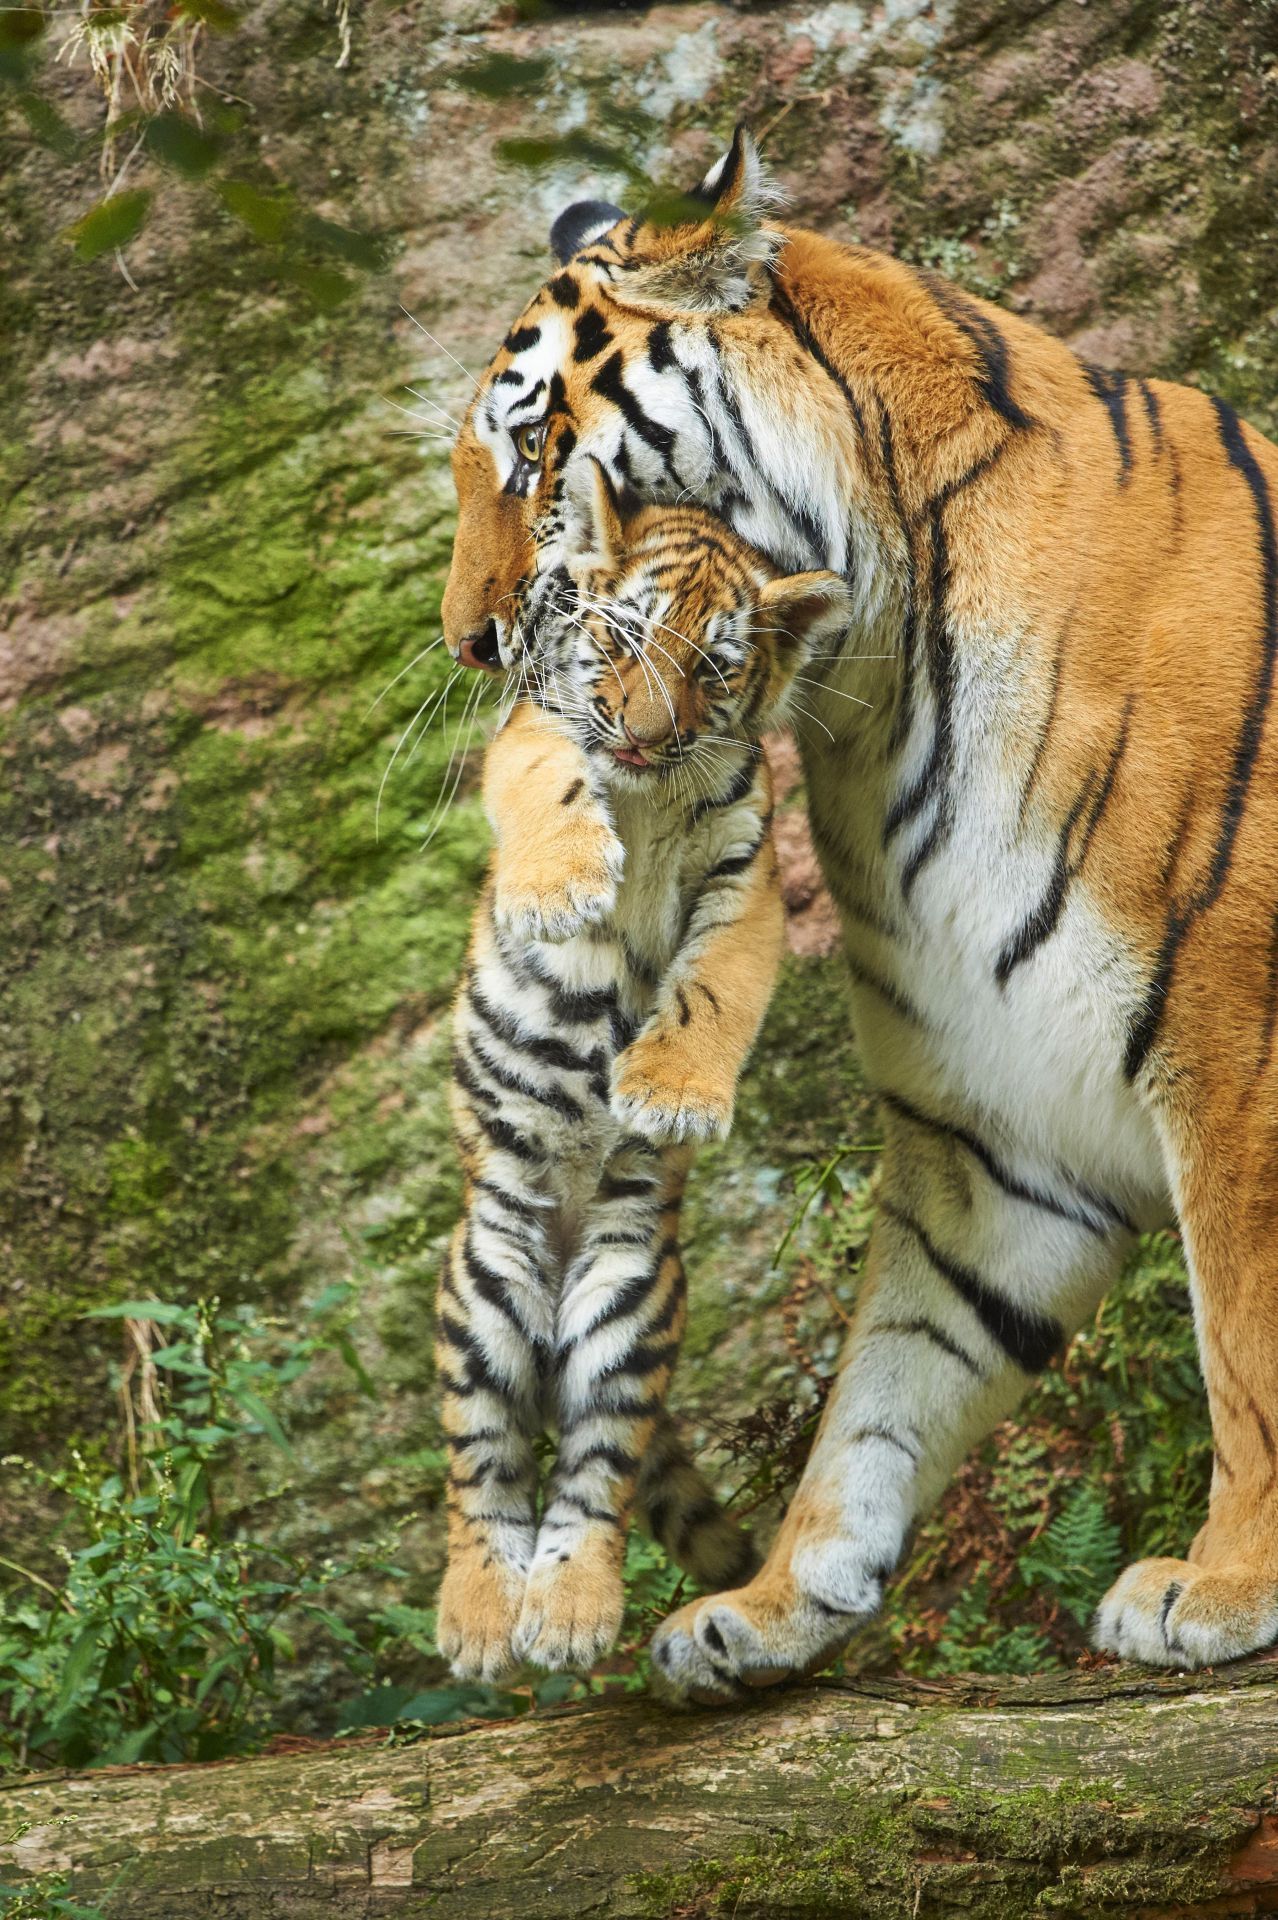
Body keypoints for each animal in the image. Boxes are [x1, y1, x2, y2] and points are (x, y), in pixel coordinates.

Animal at [437, 127, 1274, 1704]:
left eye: (533, 453)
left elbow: (1245, 1348)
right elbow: (885, 1390)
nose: (470, 643)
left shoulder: (1234, 1052)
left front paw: (1226, 1584)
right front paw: (771, 1605)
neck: (887, 682)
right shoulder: (992, 1129)